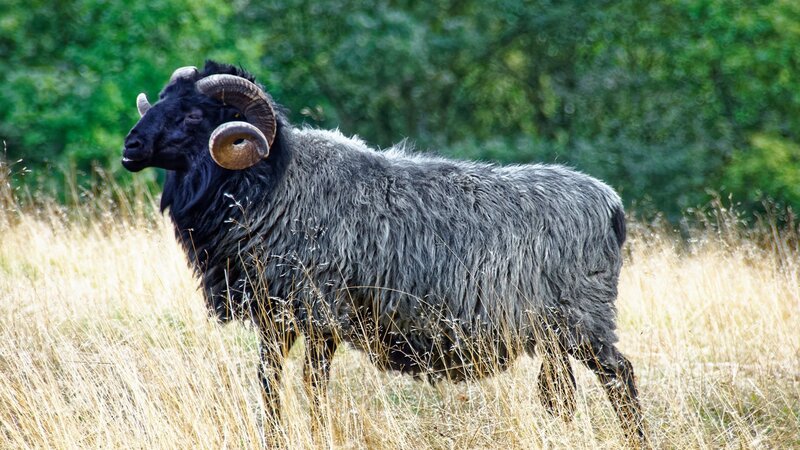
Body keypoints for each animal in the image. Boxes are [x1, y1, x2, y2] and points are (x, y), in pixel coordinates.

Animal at [122, 60, 646, 445]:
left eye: (194, 115)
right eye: (161, 101)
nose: (131, 146)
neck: (275, 184)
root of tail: (610, 203)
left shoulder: (321, 312)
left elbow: (313, 385)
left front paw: (316, 434)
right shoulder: (275, 316)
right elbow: (269, 384)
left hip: (585, 319)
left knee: (620, 377)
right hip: (554, 334)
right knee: (562, 392)